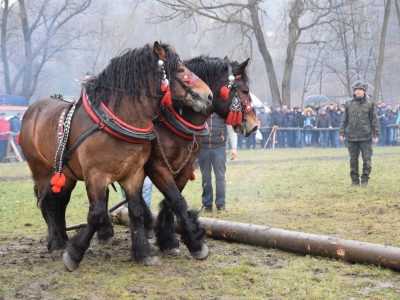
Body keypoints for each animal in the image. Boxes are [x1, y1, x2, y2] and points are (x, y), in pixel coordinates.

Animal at [19, 41, 212, 270]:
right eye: (180, 70)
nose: (208, 95)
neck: (117, 119)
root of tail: (32, 110)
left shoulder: (134, 174)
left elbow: (136, 211)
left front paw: (145, 252)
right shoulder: (96, 176)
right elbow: (97, 214)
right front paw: (74, 254)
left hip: (66, 174)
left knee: (61, 201)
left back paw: (62, 238)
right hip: (41, 169)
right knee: (48, 203)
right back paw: (57, 243)